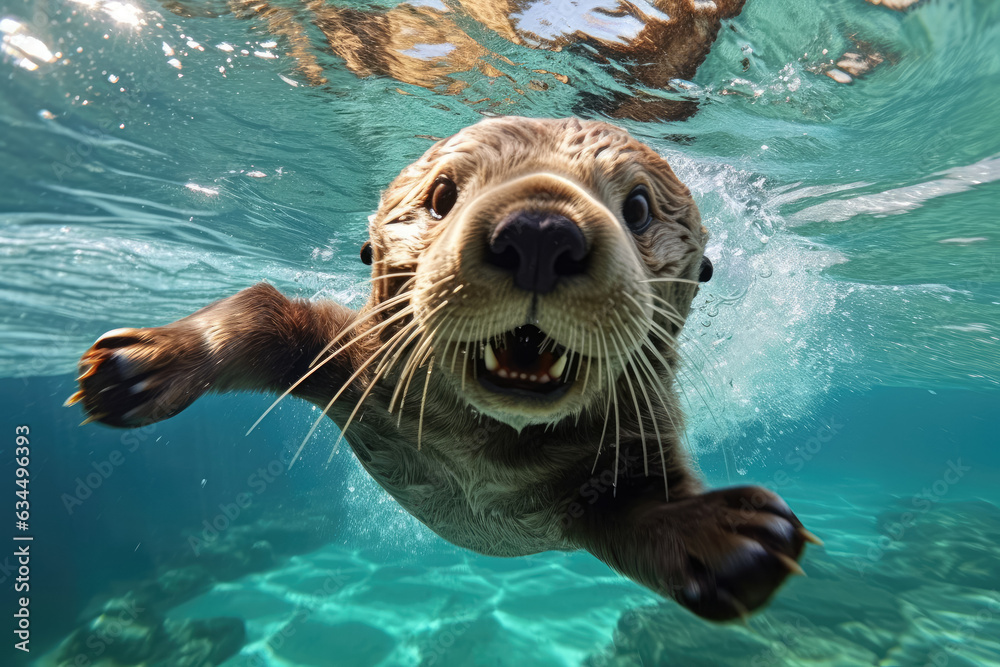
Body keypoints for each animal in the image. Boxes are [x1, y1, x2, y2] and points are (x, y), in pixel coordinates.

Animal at [69, 116, 817, 621]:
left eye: (636, 206)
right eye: (442, 195)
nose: (540, 231)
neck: (482, 465)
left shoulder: (635, 440)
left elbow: (640, 509)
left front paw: (730, 534)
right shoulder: (357, 358)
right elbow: (264, 310)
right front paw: (140, 365)